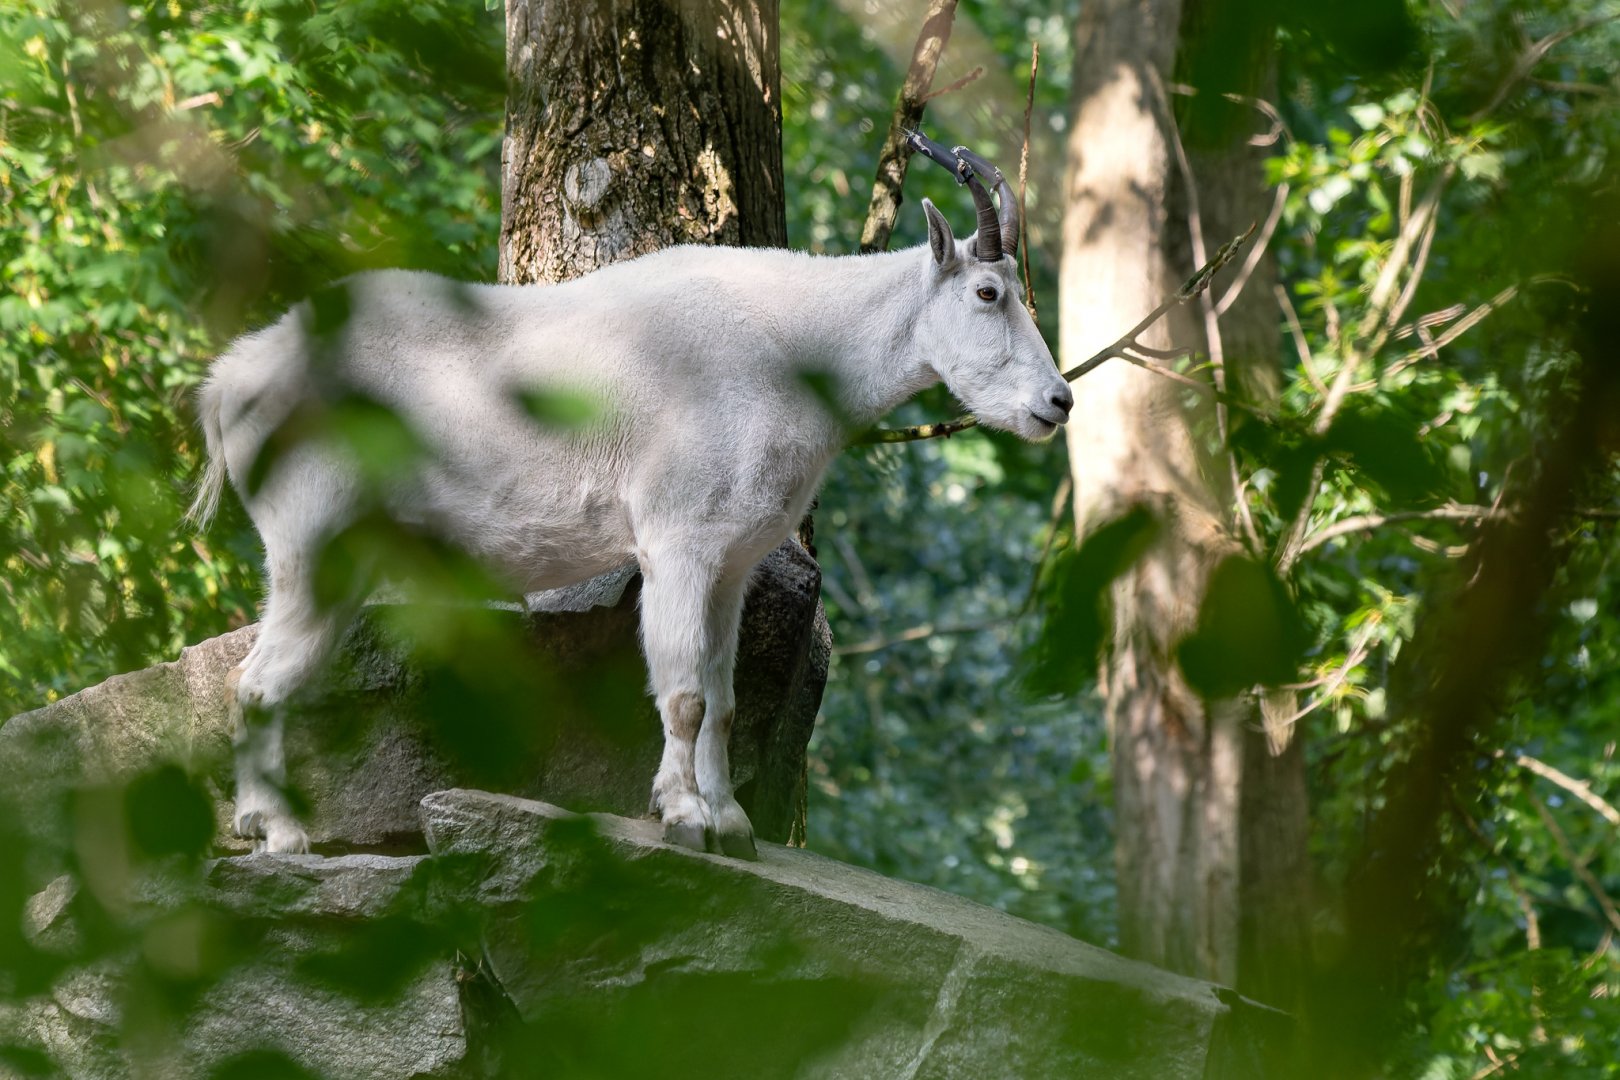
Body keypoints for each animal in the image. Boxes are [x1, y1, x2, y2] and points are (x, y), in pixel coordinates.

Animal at [189, 133, 1073, 858]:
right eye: (989, 293)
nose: (1057, 402)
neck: (787, 344)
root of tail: (235, 380)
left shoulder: (730, 564)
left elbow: (723, 696)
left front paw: (730, 824)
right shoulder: (677, 545)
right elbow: (683, 695)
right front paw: (682, 820)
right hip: (312, 544)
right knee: (257, 681)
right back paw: (280, 834)